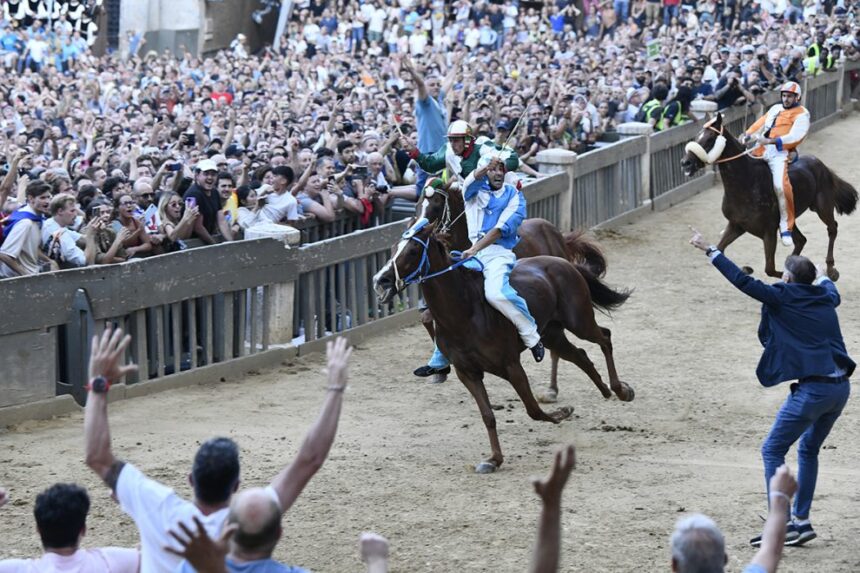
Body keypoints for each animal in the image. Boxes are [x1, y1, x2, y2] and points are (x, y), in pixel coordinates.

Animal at [372, 221, 636, 472]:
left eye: (413, 250)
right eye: (394, 249)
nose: (380, 280)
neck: (464, 312)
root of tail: (564, 262)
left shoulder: (511, 365)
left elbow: (532, 409)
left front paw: (562, 413)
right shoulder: (467, 372)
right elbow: (488, 415)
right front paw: (493, 460)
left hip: (579, 321)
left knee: (604, 337)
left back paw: (621, 390)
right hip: (552, 333)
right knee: (579, 355)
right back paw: (605, 390)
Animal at [410, 183, 604, 398]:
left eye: (436, 204)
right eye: (418, 205)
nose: (418, 229)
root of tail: (558, 234)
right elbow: (427, 318)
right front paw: (439, 369)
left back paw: (552, 389)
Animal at [680, 111, 856, 280]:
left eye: (710, 138)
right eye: (696, 136)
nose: (685, 162)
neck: (746, 184)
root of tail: (821, 165)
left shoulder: (769, 231)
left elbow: (769, 269)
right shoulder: (737, 225)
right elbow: (719, 249)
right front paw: (745, 269)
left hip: (822, 207)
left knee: (832, 229)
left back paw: (831, 270)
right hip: (790, 220)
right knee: (801, 240)